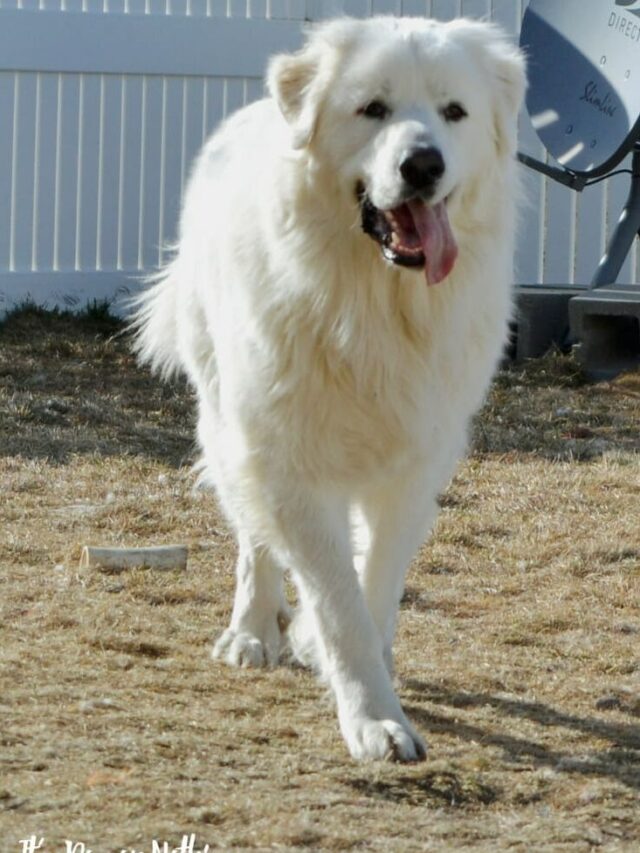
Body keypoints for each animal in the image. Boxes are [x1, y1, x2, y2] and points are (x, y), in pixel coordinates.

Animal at [134, 15, 524, 760]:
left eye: (453, 112)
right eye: (372, 108)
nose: (423, 165)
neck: (373, 303)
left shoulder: (414, 465)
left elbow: (373, 586)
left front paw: (353, 660)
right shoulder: (289, 460)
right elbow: (337, 600)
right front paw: (374, 719)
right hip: (230, 422)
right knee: (254, 540)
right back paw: (252, 630)